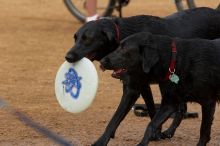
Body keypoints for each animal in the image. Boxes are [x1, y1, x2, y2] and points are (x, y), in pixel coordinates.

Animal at [65, 7, 220, 146]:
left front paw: (101, 142)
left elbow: (115, 118)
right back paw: (169, 131)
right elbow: (151, 110)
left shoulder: (133, 89)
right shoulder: (143, 86)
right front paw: (156, 134)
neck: (121, 33)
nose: (68, 57)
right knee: (181, 108)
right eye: (75, 38)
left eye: (87, 39)